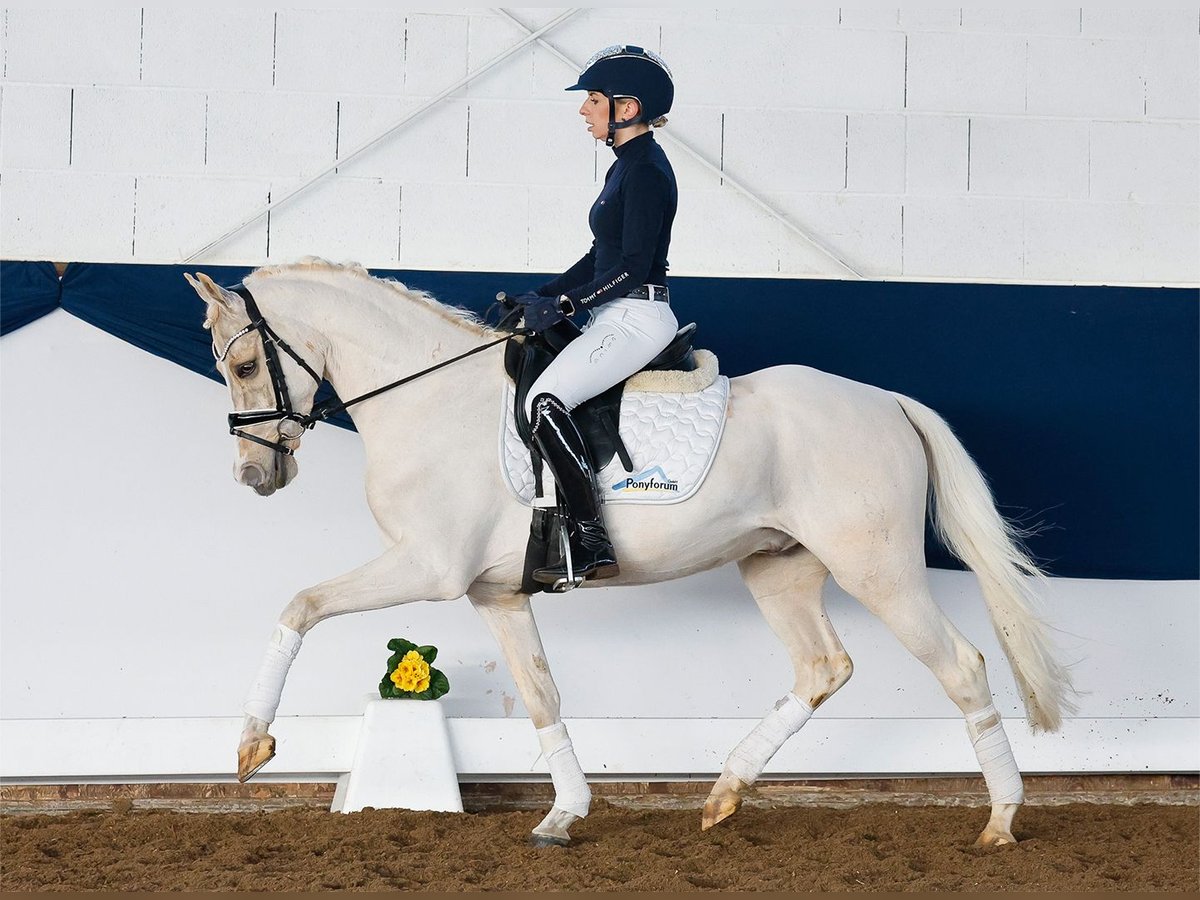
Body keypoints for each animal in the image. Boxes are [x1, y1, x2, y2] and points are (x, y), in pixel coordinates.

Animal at [184, 256, 1080, 849]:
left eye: (243, 362)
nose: (254, 477)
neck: (427, 398)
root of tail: (887, 402)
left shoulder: (427, 569)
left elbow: (300, 604)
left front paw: (252, 745)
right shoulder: (495, 594)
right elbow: (542, 694)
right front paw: (562, 815)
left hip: (878, 569)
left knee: (961, 666)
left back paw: (1001, 822)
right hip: (779, 568)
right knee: (824, 668)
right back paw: (724, 793)